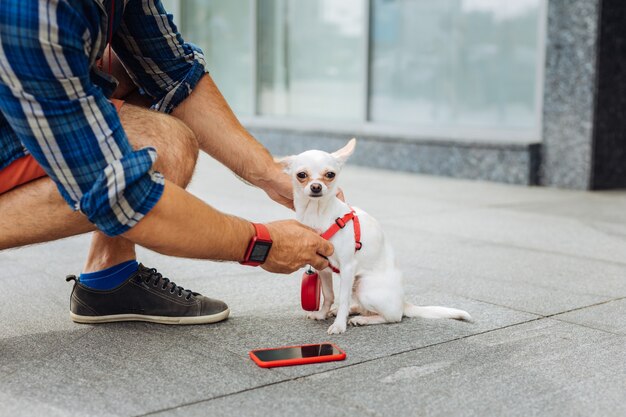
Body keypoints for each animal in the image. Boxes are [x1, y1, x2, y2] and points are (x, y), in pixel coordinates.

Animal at [282, 138, 468, 334]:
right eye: (301, 175)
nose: (316, 187)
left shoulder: (348, 267)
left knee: (392, 317)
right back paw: (351, 311)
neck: (316, 213)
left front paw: (339, 325)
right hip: (356, 284)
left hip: (364, 287)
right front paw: (322, 314)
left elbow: (342, 298)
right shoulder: (324, 268)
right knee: (361, 306)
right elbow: (329, 295)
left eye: (330, 174)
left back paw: (362, 319)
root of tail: (403, 303)